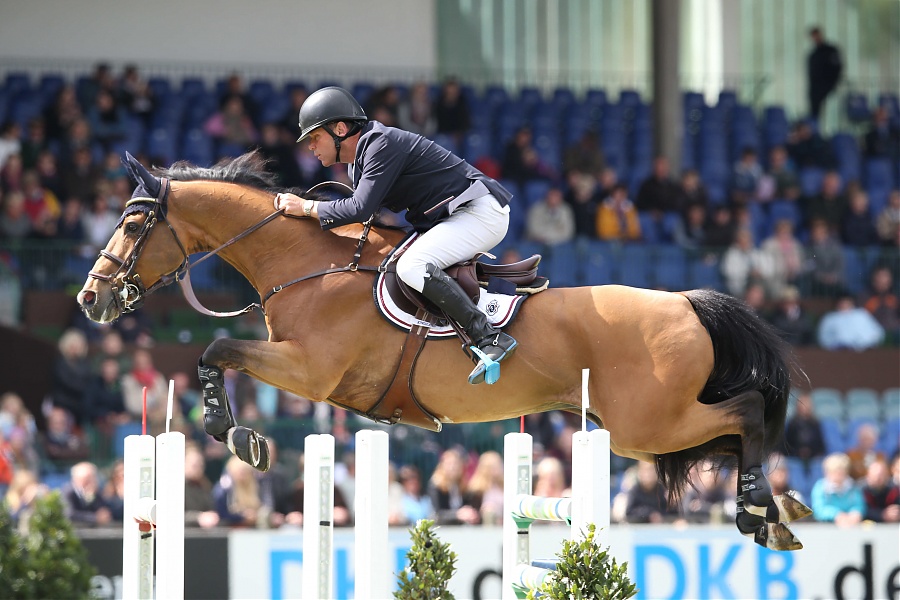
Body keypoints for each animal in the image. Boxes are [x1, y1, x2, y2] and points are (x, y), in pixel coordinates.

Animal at [77, 152, 812, 550]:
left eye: (135, 223)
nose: (91, 298)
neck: (308, 263)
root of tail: (684, 301)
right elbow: (218, 353)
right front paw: (239, 434)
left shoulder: (308, 371)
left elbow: (218, 348)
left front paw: (237, 437)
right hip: (645, 430)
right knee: (733, 432)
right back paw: (772, 514)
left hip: (644, 424)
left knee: (746, 412)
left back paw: (756, 506)